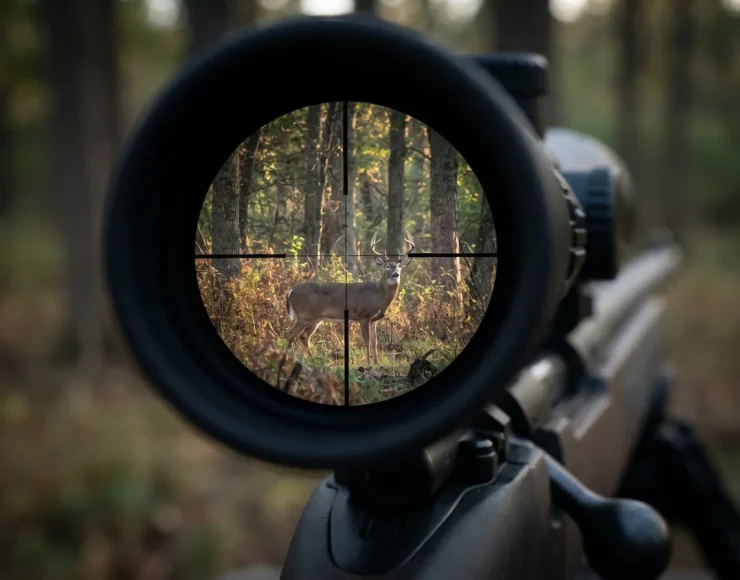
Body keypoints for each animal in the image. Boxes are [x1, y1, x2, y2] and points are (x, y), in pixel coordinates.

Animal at [284, 230, 415, 368]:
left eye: (400, 266)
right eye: (388, 266)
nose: (396, 274)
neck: (378, 294)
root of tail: (290, 291)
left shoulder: (374, 319)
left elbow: (375, 342)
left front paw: (376, 363)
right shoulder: (363, 315)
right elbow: (367, 341)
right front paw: (368, 364)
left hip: (315, 319)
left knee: (303, 337)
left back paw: (310, 360)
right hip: (304, 315)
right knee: (290, 334)